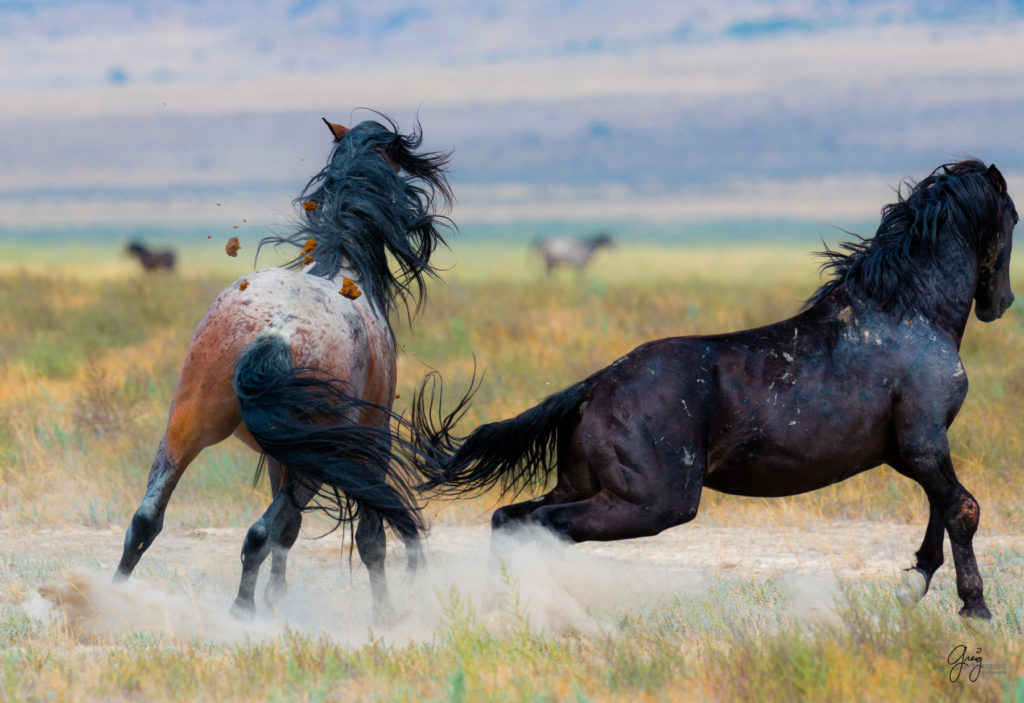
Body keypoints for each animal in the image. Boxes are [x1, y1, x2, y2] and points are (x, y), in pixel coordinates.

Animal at [116, 114, 452, 622]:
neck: (341, 264)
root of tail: (276, 331)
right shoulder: (367, 446)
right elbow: (369, 537)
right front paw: (385, 616)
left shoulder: (280, 456)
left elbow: (288, 534)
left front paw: (279, 596)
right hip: (318, 458)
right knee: (258, 532)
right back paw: (241, 609)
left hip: (187, 428)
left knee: (146, 519)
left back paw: (108, 596)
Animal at [413, 160, 1015, 622]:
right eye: (1013, 217)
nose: (1001, 303)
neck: (905, 314)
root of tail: (596, 384)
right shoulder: (922, 440)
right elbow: (962, 507)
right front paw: (975, 610)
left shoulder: (912, 449)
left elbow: (940, 507)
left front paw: (915, 583)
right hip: (652, 502)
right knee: (539, 527)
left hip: (586, 486)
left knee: (509, 520)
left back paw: (502, 609)